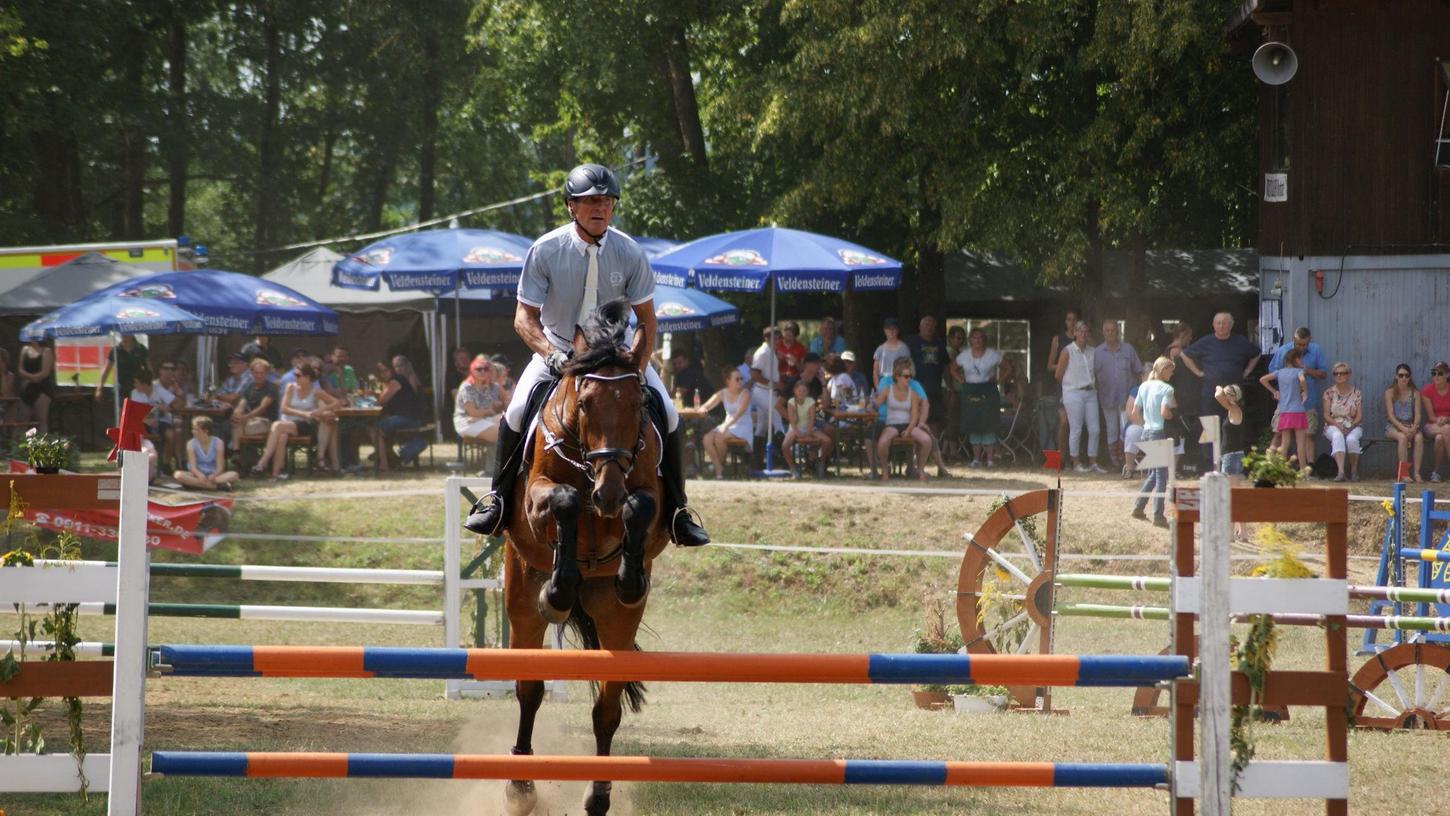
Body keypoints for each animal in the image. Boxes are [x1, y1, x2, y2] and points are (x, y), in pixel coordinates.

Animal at [501, 298, 669, 816]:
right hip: (519, 599)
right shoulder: (537, 499)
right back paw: (520, 786)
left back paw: (598, 794)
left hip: (615, 624)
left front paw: (629, 577)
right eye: (585, 402)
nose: (608, 493)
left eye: (637, 404)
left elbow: (641, 507)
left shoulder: (646, 499)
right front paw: (558, 591)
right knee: (529, 690)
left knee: (606, 710)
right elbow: (565, 501)